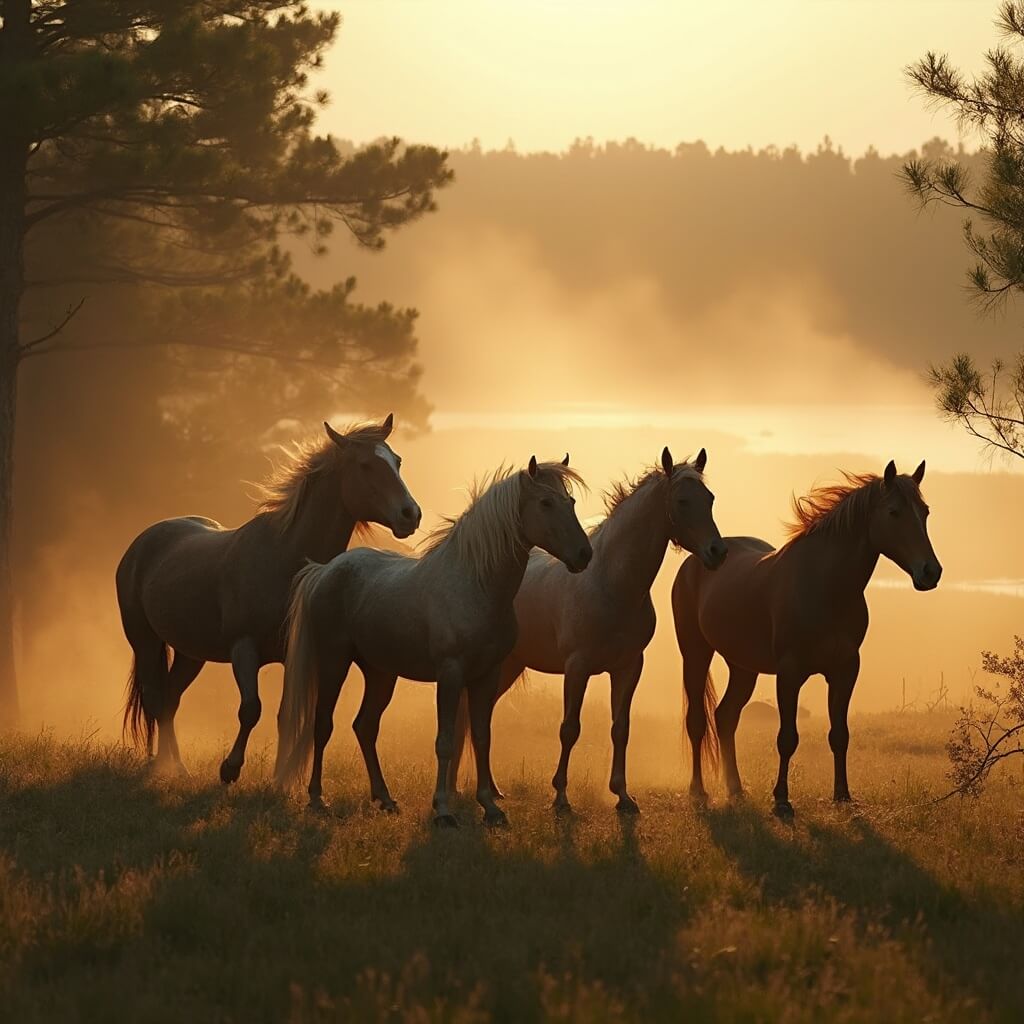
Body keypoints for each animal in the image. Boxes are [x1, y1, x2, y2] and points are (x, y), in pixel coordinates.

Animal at [116, 415, 420, 783]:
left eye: (397, 461)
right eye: (365, 465)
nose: (410, 514)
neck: (283, 558)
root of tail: (142, 542)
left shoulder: (293, 655)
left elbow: (284, 717)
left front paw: (278, 780)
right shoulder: (243, 648)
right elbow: (251, 710)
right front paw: (230, 768)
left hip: (192, 653)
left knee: (170, 700)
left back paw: (178, 769)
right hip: (144, 640)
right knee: (156, 697)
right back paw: (163, 767)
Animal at [274, 456, 592, 827]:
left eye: (570, 502)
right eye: (545, 503)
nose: (584, 554)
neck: (475, 584)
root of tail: (325, 571)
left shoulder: (487, 675)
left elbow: (481, 737)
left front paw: (490, 807)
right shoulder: (450, 674)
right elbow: (446, 740)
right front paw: (443, 809)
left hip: (381, 673)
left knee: (365, 727)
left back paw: (385, 798)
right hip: (333, 662)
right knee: (322, 725)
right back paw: (316, 798)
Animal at [449, 446, 728, 814]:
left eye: (709, 498)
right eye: (682, 501)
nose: (717, 552)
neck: (611, 585)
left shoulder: (628, 667)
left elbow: (621, 728)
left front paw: (623, 795)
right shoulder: (577, 667)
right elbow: (570, 729)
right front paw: (561, 797)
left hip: (508, 666)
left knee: (480, 716)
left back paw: (492, 790)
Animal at [673, 459, 941, 818]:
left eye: (924, 512)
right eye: (894, 512)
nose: (930, 572)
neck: (824, 586)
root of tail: (699, 558)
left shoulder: (845, 670)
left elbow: (839, 734)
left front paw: (842, 795)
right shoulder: (790, 673)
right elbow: (787, 737)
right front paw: (782, 799)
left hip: (743, 667)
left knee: (726, 717)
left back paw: (736, 790)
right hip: (696, 654)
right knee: (698, 721)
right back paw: (698, 792)